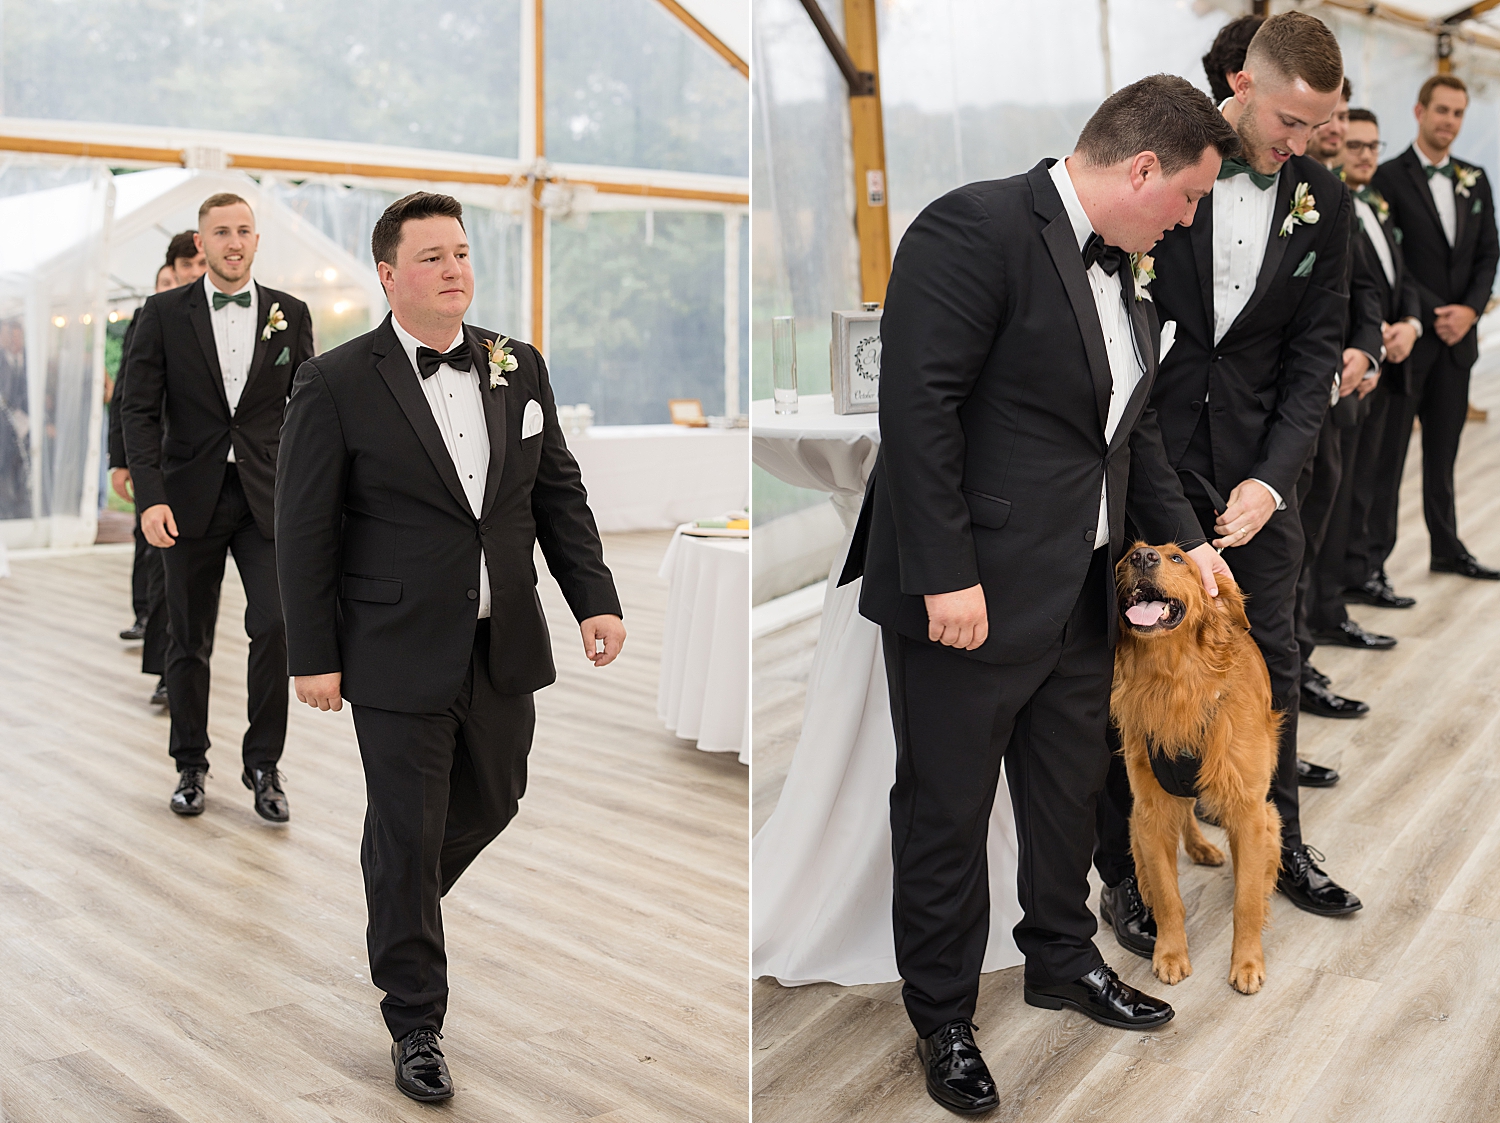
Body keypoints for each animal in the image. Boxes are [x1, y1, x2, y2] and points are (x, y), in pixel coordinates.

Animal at [1116, 539, 1278, 989]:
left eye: (1178, 558)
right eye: (1127, 557)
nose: (1143, 557)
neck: (1175, 683)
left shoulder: (1251, 812)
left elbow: (1246, 900)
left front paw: (1247, 963)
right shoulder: (1149, 810)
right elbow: (1168, 896)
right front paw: (1170, 954)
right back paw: (1199, 846)